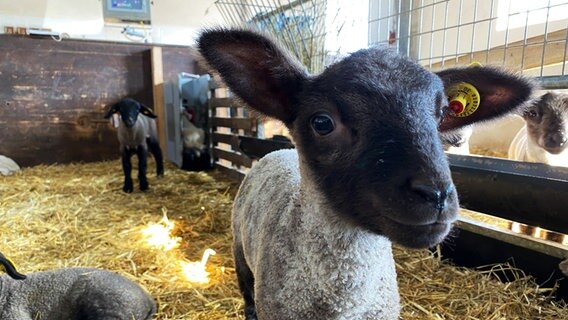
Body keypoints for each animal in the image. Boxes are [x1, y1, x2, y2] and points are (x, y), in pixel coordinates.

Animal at [197, 28, 536, 320]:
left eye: (442, 114)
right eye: (322, 123)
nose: (436, 196)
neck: (343, 302)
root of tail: (278, 152)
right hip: (241, 255)